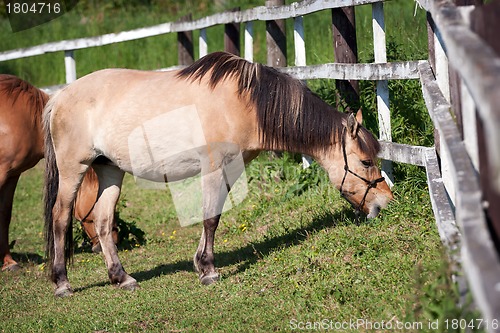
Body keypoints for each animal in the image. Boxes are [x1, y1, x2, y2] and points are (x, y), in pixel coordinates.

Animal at [44, 52, 394, 296]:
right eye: (365, 162)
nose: (386, 202)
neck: (244, 102)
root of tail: (59, 97)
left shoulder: (230, 168)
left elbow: (214, 215)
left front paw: (201, 263)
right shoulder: (213, 167)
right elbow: (210, 218)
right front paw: (209, 270)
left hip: (110, 170)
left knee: (103, 223)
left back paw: (122, 278)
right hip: (73, 170)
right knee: (60, 216)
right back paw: (62, 283)